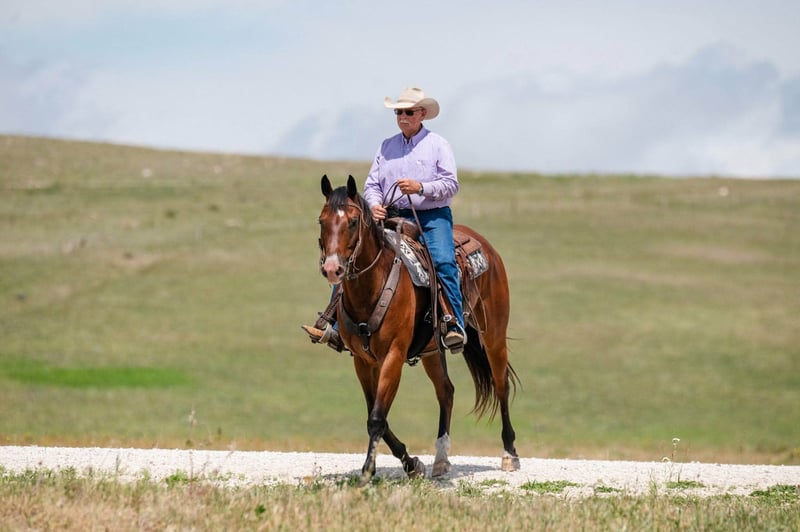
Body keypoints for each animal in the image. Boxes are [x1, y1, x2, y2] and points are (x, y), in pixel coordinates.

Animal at [316, 174, 520, 484]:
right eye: (321, 221)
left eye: (352, 221)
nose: (332, 269)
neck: (372, 287)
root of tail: (486, 248)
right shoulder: (363, 361)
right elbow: (377, 415)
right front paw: (412, 464)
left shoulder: (393, 355)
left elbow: (377, 417)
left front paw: (367, 472)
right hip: (431, 351)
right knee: (446, 391)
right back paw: (441, 459)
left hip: (494, 335)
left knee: (500, 386)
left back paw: (509, 453)